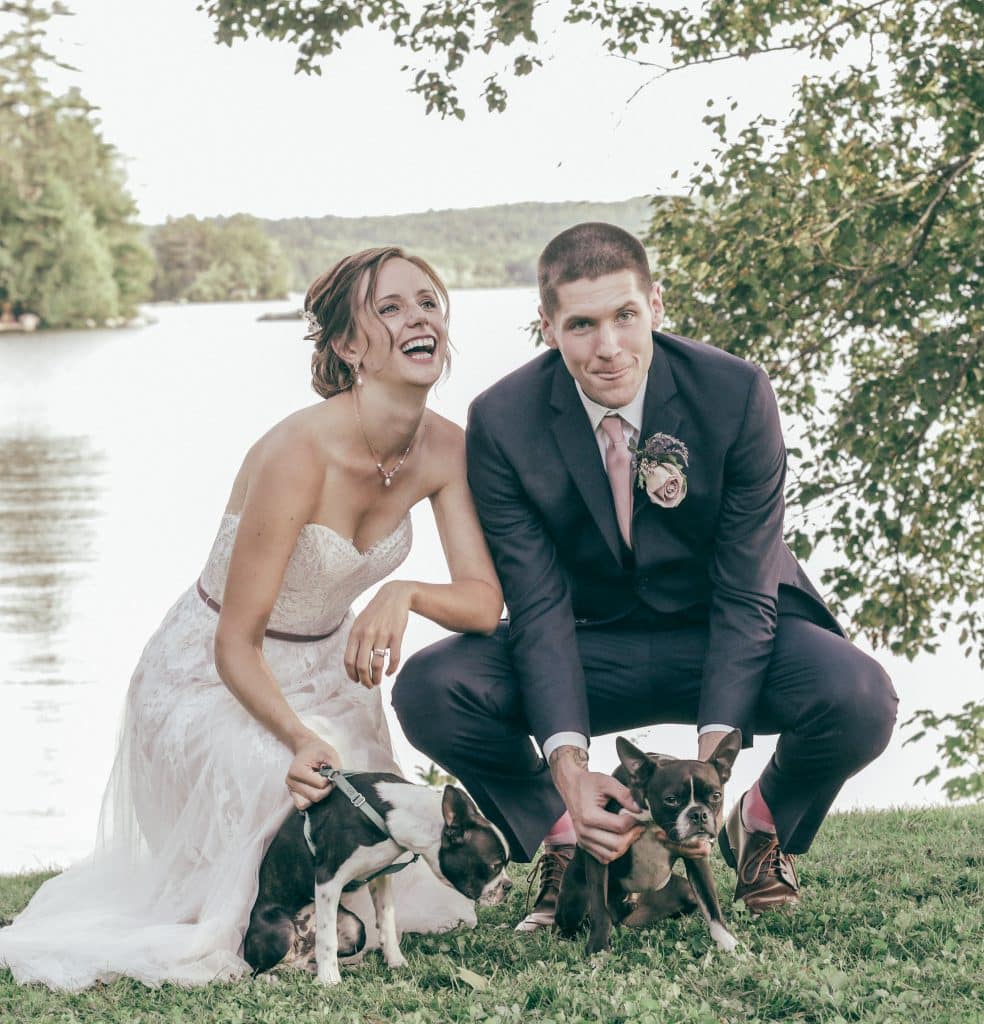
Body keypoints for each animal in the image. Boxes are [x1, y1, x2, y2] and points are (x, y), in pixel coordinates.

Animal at [244, 774, 509, 983]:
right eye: (494, 866)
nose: (509, 886)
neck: (393, 816)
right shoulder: (328, 880)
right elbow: (327, 939)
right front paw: (330, 980)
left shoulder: (380, 877)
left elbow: (387, 921)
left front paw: (396, 961)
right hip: (282, 931)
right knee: (262, 969)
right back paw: (277, 976)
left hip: (354, 929)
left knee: (307, 956)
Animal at [557, 733, 741, 954]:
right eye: (671, 799)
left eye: (716, 796)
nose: (699, 814)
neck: (652, 822)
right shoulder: (600, 849)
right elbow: (599, 908)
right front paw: (598, 948)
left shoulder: (696, 855)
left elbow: (710, 901)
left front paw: (726, 941)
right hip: (574, 899)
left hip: (684, 892)